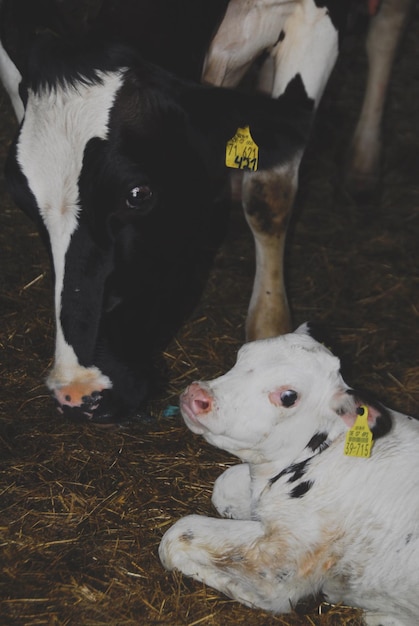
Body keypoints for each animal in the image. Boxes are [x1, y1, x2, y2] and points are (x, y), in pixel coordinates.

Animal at [160, 326, 419, 624]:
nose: (197, 395)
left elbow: (176, 536)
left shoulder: (284, 559)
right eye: (241, 355)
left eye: (288, 397)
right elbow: (223, 485)